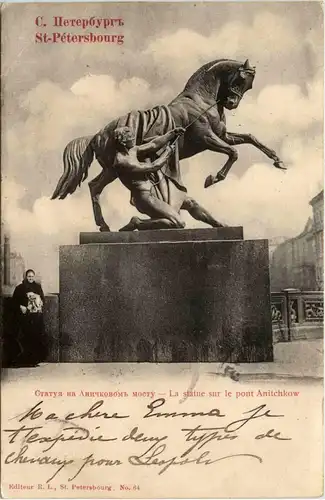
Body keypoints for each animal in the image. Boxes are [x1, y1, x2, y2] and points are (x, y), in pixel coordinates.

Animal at [52, 58, 284, 230]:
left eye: (249, 85)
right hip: (114, 169)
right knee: (96, 186)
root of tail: (96, 136)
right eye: (240, 79)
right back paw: (107, 226)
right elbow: (234, 152)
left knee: (94, 186)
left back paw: (105, 226)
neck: (200, 102)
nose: (231, 103)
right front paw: (213, 179)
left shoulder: (223, 135)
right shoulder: (206, 138)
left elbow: (251, 138)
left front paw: (278, 161)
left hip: (110, 171)